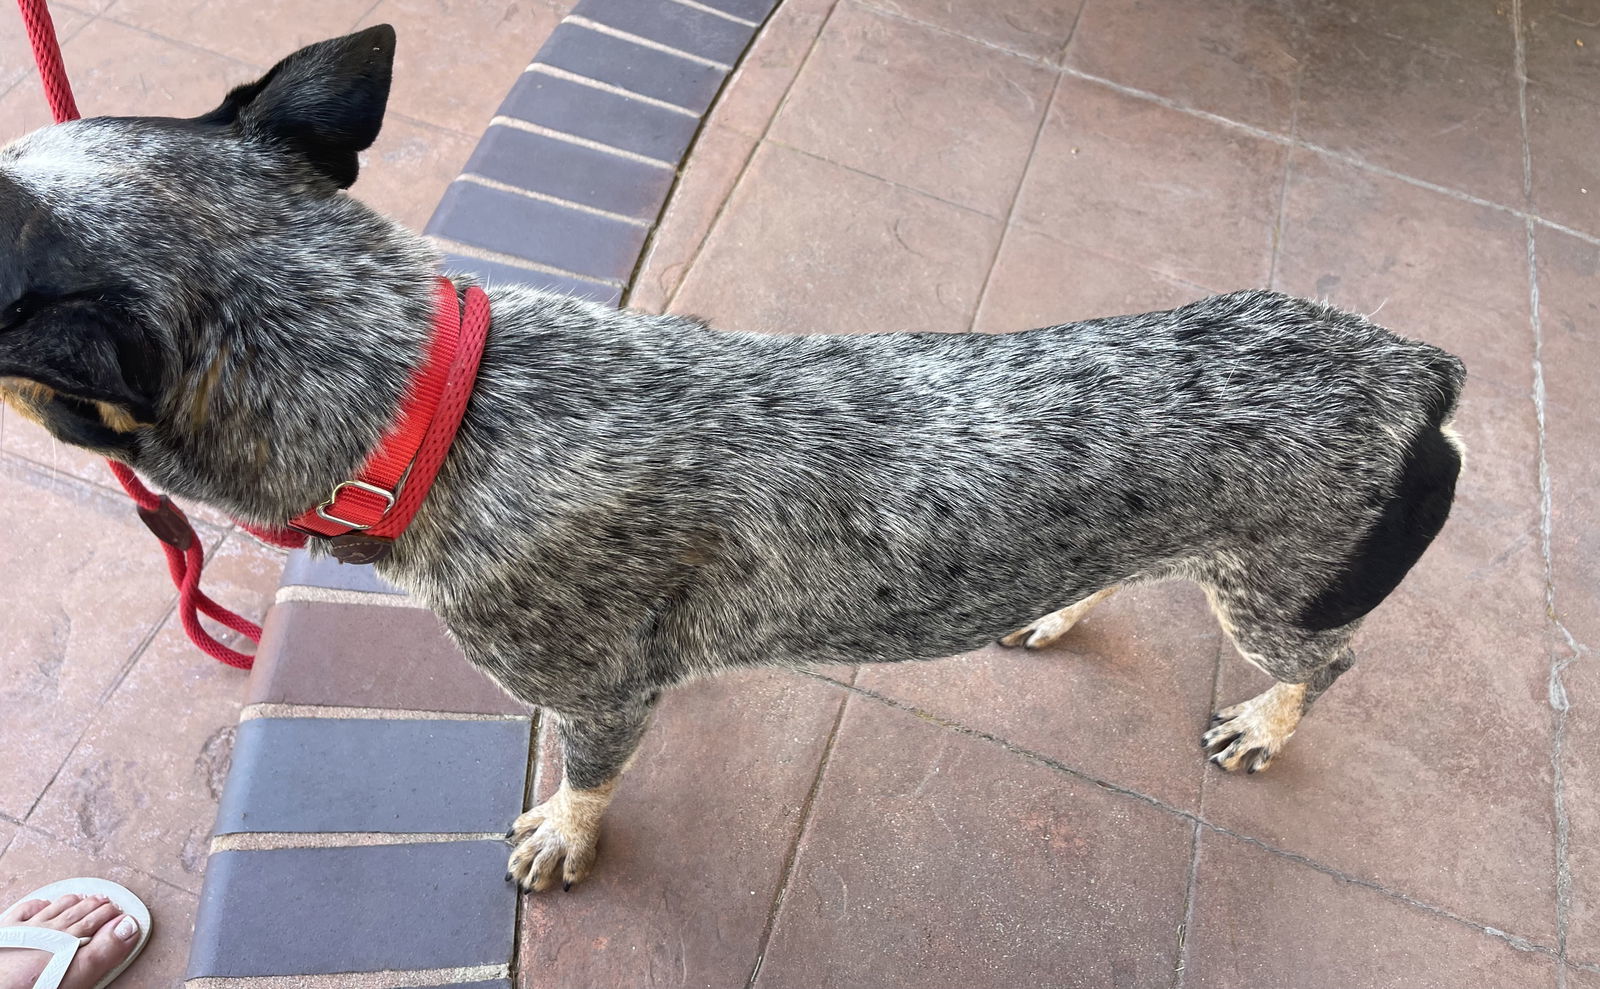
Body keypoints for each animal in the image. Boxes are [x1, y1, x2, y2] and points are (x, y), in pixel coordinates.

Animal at [0, 27, 1465, 889]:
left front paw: (564, 830)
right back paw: (1063, 604)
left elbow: (589, 774)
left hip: (1278, 592)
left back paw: (1267, 720)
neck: (436, 405)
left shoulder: (599, 688)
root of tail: (1413, 363)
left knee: (1329, 660)